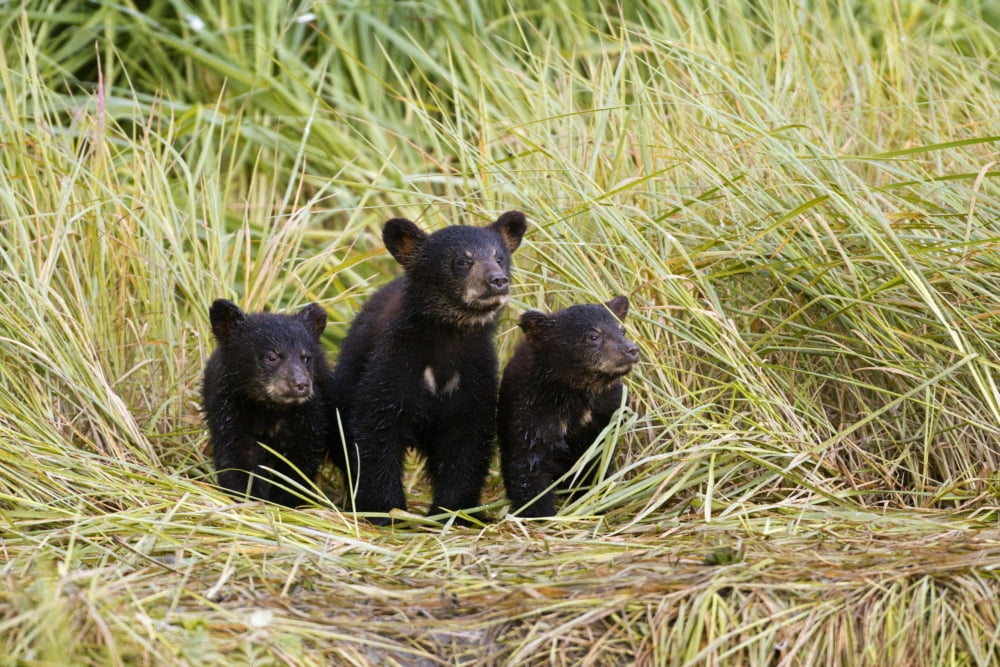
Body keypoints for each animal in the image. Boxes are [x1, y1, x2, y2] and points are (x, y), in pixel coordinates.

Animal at [202, 299, 332, 508]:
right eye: (271, 356)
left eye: (306, 358)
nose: (301, 384)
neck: (270, 408)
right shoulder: (230, 411)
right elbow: (237, 458)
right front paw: (250, 498)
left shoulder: (308, 418)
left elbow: (299, 464)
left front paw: (284, 502)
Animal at [329, 210, 527, 524]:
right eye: (462, 262)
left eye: (499, 257)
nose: (498, 280)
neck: (446, 342)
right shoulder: (394, 365)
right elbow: (376, 432)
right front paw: (386, 511)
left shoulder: (475, 375)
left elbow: (467, 440)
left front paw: (453, 512)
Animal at [498, 296, 639, 517]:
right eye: (593, 336)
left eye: (622, 330)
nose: (631, 350)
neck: (578, 393)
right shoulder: (532, 411)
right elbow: (528, 465)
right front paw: (540, 513)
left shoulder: (606, 412)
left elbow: (597, 459)